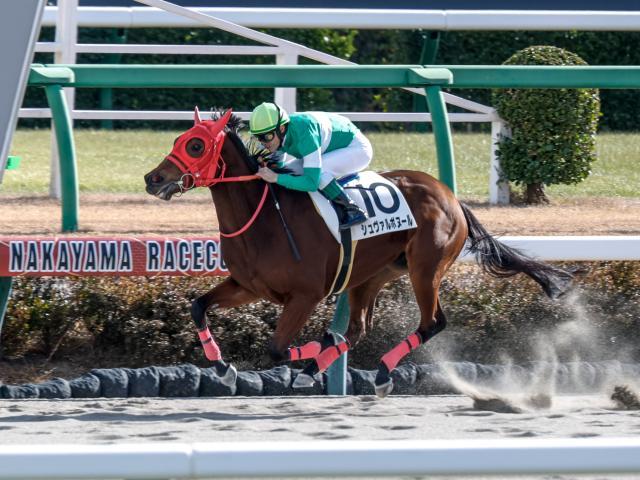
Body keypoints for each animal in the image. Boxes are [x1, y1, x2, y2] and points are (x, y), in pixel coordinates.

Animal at [142, 109, 572, 398]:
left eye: (195, 144)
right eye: (178, 140)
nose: (152, 178)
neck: (263, 218)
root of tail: (451, 197)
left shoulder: (305, 295)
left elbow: (277, 350)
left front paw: (311, 348)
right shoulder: (249, 286)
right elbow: (198, 307)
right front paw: (223, 368)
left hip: (425, 269)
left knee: (432, 322)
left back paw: (379, 374)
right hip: (372, 275)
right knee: (358, 329)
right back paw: (321, 367)